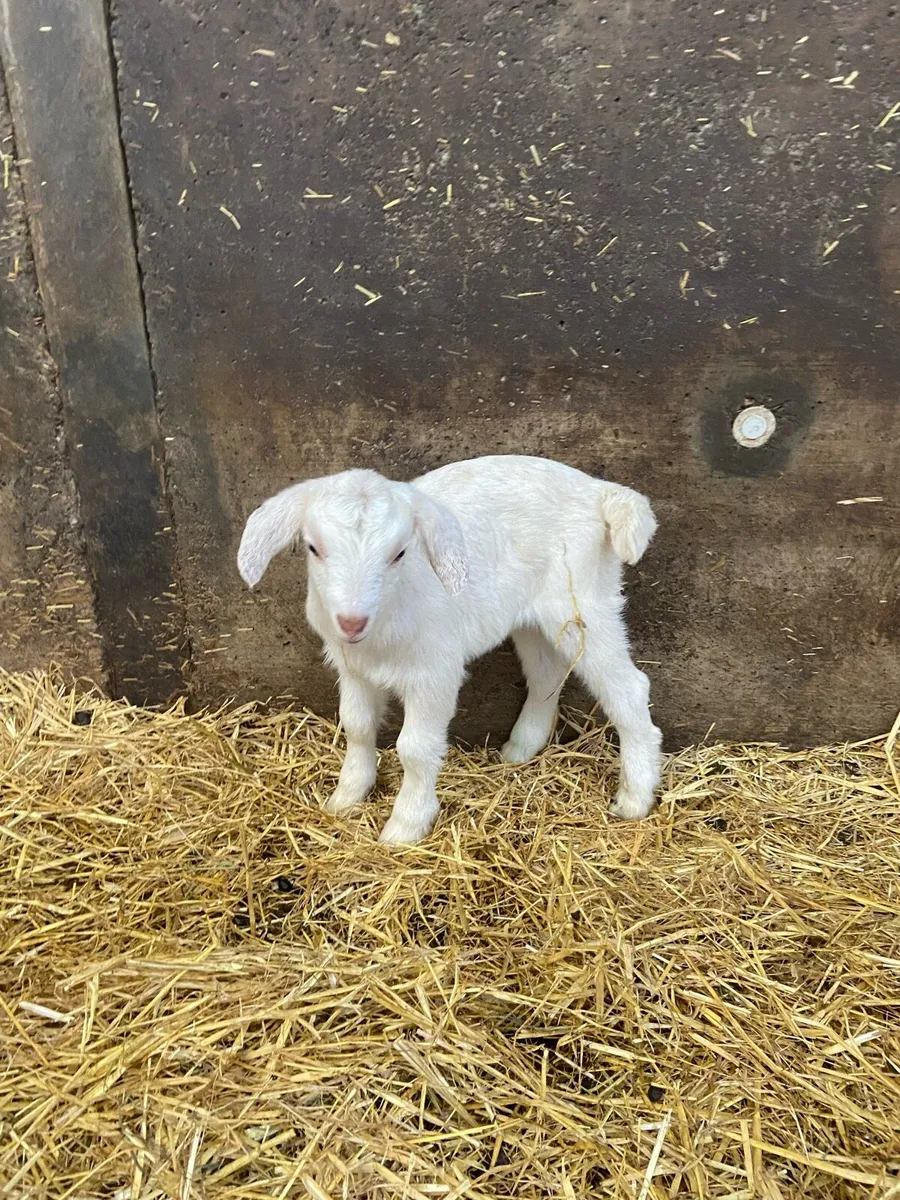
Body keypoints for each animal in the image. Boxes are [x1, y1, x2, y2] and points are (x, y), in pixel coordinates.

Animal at [237, 455, 663, 844]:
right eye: (313, 548)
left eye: (400, 553)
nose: (352, 622)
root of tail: (600, 492)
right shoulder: (352, 667)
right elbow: (356, 726)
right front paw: (346, 796)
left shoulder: (435, 672)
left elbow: (415, 748)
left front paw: (405, 826)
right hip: (533, 619)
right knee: (546, 675)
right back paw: (520, 748)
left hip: (584, 604)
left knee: (629, 688)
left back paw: (635, 797)